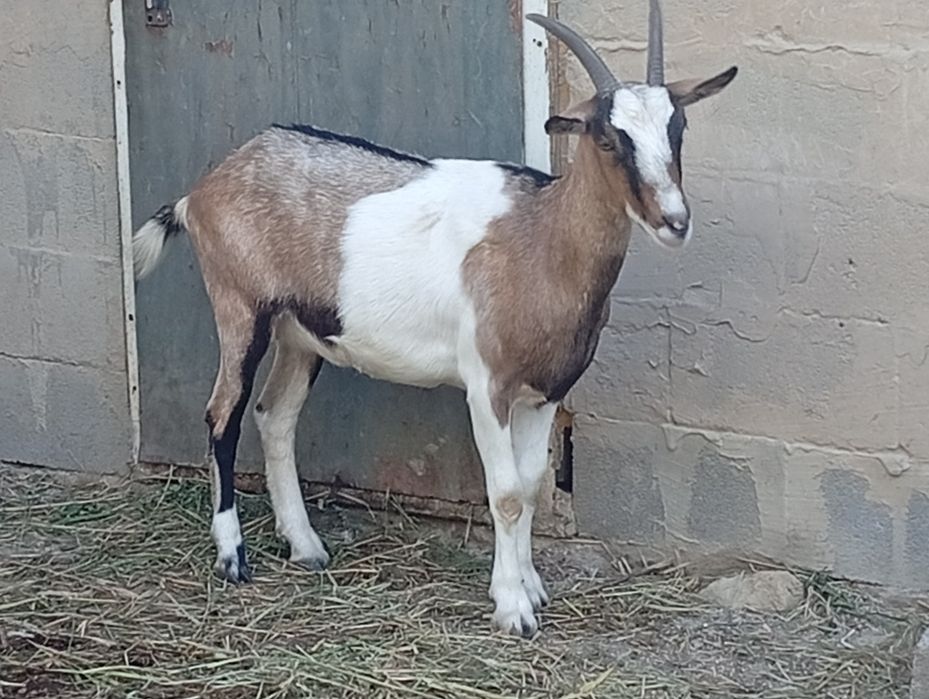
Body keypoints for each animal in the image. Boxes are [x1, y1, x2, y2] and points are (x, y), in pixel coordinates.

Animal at [132, 0, 736, 637]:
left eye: (678, 128)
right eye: (606, 136)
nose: (674, 220)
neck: (541, 236)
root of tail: (204, 190)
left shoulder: (546, 391)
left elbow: (530, 485)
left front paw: (531, 586)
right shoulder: (487, 386)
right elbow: (506, 494)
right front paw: (513, 608)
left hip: (301, 333)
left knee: (275, 416)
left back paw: (307, 547)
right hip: (239, 307)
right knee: (222, 415)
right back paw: (233, 557)